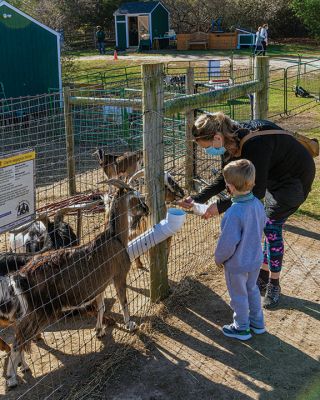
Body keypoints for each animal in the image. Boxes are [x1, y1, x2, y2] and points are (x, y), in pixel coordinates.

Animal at [1, 180, 148, 388]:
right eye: (135, 197)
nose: (146, 209)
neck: (114, 238)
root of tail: (20, 276)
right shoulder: (119, 275)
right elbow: (124, 301)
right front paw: (131, 324)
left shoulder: (100, 284)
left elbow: (101, 307)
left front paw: (99, 331)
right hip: (39, 312)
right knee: (18, 341)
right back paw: (12, 378)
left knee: (19, 337)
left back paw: (19, 370)